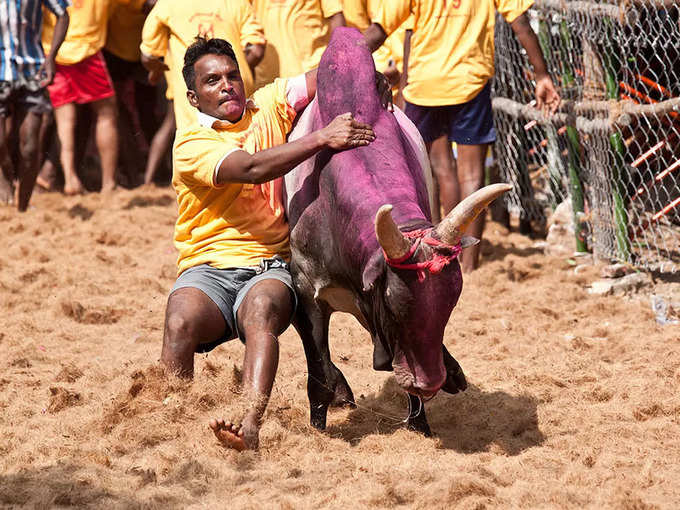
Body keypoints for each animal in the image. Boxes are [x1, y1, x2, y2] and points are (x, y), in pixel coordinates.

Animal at [282, 27, 510, 434]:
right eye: (394, 302)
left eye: (451, 303)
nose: (430, 382)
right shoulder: (307, 290)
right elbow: (319, 370)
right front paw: (321, 420)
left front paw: (422, 423)